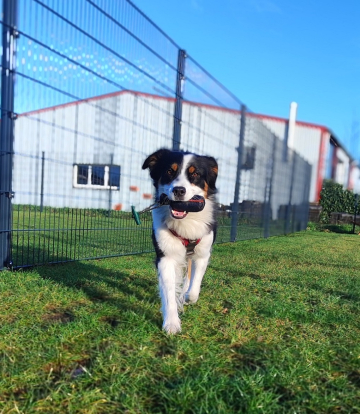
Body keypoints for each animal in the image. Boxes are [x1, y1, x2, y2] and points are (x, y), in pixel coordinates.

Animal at [142, 148, 218, 334]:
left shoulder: (203, 253)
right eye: (170, 171)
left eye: (196, 174)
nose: (179, 191)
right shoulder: (165, 256)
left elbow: (194, 283)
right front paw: (171, 323)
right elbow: (169, 290)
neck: (186, 221)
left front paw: (188, 296)